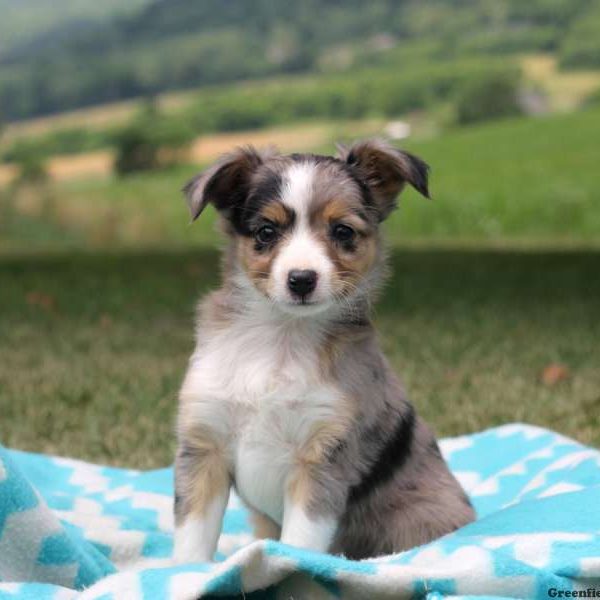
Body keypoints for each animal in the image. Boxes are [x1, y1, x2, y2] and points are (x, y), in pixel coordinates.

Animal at [172, 139, 474, 564]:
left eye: (342, 231)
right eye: (266, 231)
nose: (301, 280)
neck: (281, 336)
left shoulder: (323, 457)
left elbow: (299, 543)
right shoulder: (204, 446)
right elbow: (193, 535)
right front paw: (183, 572)